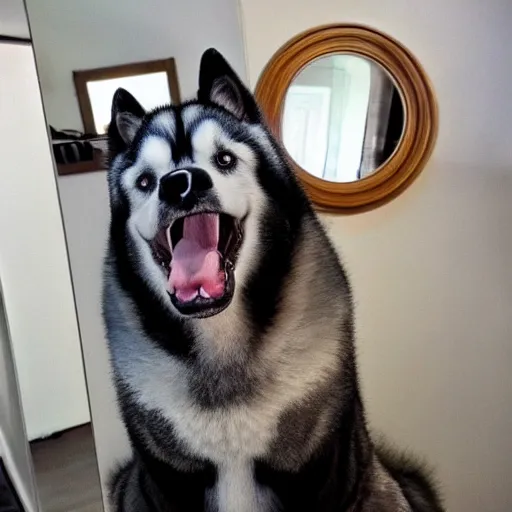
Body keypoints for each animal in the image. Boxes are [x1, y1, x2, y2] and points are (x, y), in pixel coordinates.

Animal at [102, 49, 442, 512]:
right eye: (145, 180)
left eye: (225, 159)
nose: (181, 184)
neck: (221, 353)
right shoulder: (166, 478)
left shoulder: (318, 473)